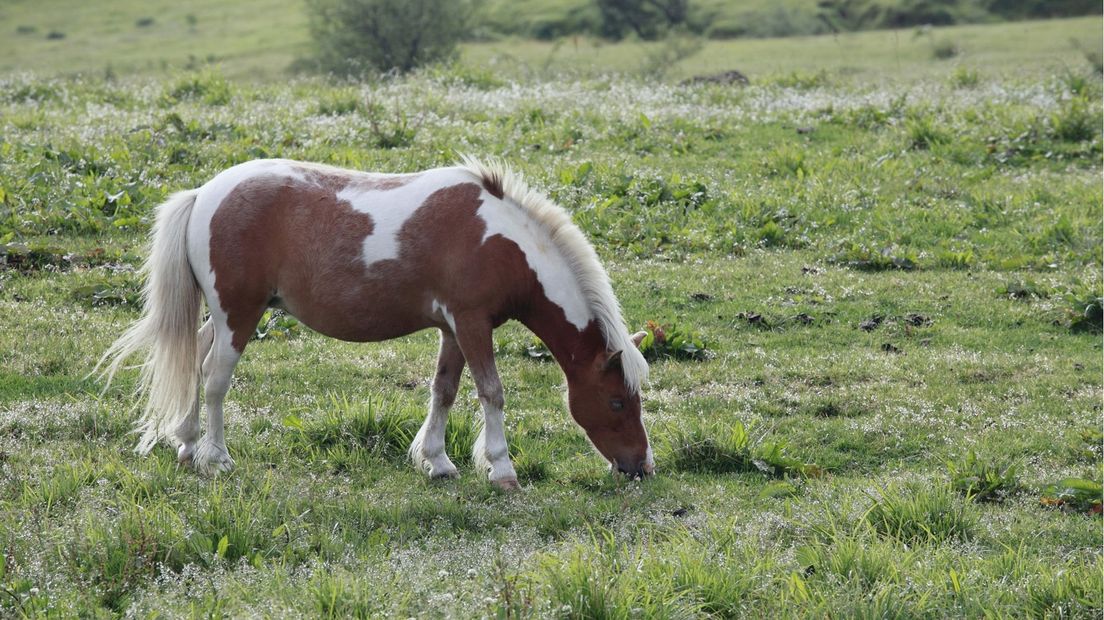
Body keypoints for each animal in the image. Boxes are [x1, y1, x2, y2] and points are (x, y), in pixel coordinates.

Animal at [97, 154, 653, 487]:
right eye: (617, 401)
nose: (641, 467)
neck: (498, 241)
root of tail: (203, 194)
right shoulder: (472, 323)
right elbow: (491, 393)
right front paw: (501, 469)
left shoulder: (454, 329)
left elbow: (444, 390)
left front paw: (437, 460)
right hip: (240, 315)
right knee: (215, 379)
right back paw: (216, 457)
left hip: (222, 315)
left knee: (195, 363)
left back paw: (188, 446)